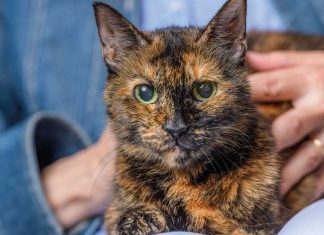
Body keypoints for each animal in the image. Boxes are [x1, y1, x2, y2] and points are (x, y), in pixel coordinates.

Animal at [92, 0, 324, 234]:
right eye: (145, 93)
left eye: (205, 90)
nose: (176, 128)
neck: (183, 182)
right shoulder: (114, 208)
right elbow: (122, 215)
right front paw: (137, 218)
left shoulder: (257, 224)